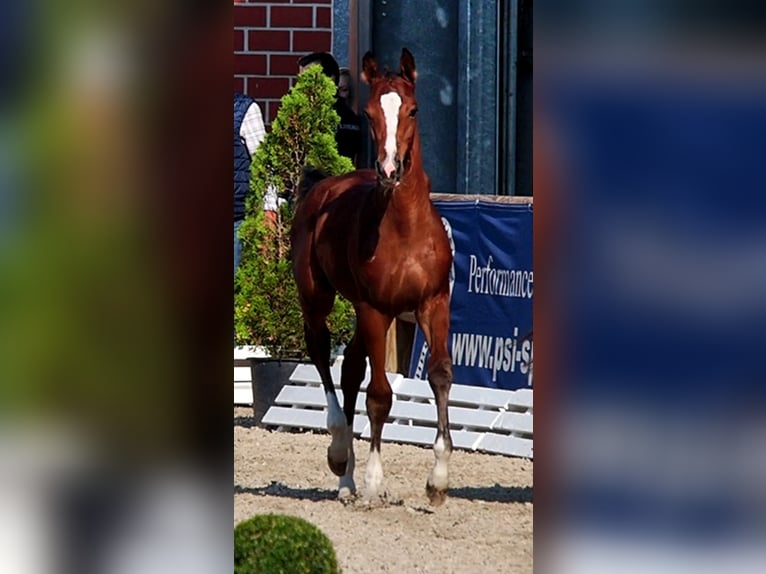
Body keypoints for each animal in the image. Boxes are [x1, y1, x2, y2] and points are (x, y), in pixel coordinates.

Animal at [292, 50, 452, 508]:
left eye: (413, 109)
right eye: (368, 113)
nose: (389, 169)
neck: (405, 228)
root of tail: (322, 187)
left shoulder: (435, 302)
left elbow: (440, 375)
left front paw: (438, 481)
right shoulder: (375, 308)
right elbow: (380, 395)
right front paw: (374, 480)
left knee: (350, 367)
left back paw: (345, 480)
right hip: (320, 299)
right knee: (322, 352)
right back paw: (339, 454)